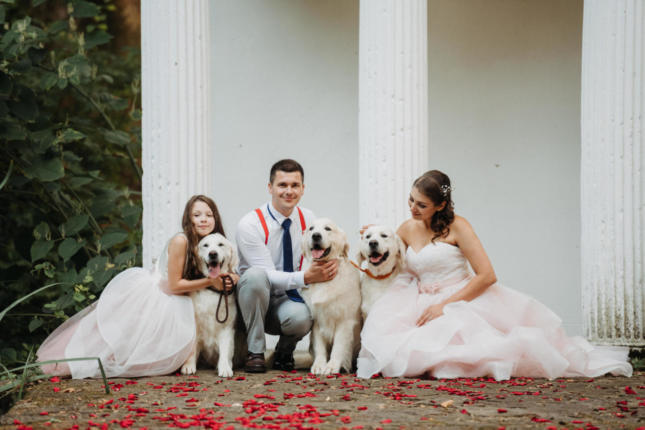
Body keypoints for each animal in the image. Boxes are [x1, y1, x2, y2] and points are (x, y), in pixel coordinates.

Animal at [181, 233, 239, 378]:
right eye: (205, 245)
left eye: (220, 244)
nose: (213, 254)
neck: (212, 289)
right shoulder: (195, 325)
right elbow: (192, 349)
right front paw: (188, 366)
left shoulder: (227, 326)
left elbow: (225, 350)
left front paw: (225, 368)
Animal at [300, 218, 360, 372]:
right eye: (311, 228)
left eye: (328, 228)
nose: (316, 236)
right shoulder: (317, 320)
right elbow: (320, 347)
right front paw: (319, 365)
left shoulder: (345, 320)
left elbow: (339, 346)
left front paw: (332, 366)